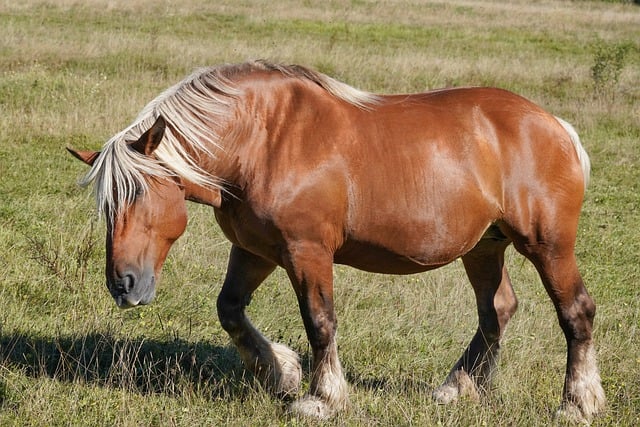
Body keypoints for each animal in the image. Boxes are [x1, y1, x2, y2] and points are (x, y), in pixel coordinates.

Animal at [70, 61, 604, 424]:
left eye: (140, 193)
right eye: (107, 205)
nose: (123, 285)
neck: (264, 141)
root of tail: (556, 126)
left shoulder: (307, 252)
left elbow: (320, 322)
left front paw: (321, 397)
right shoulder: (255, 250)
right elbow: (230, 310)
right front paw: (281, 373)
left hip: (547, 245)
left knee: (576, 311)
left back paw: (577, 402)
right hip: (484, 247)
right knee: (497, 310)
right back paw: (458, 387)